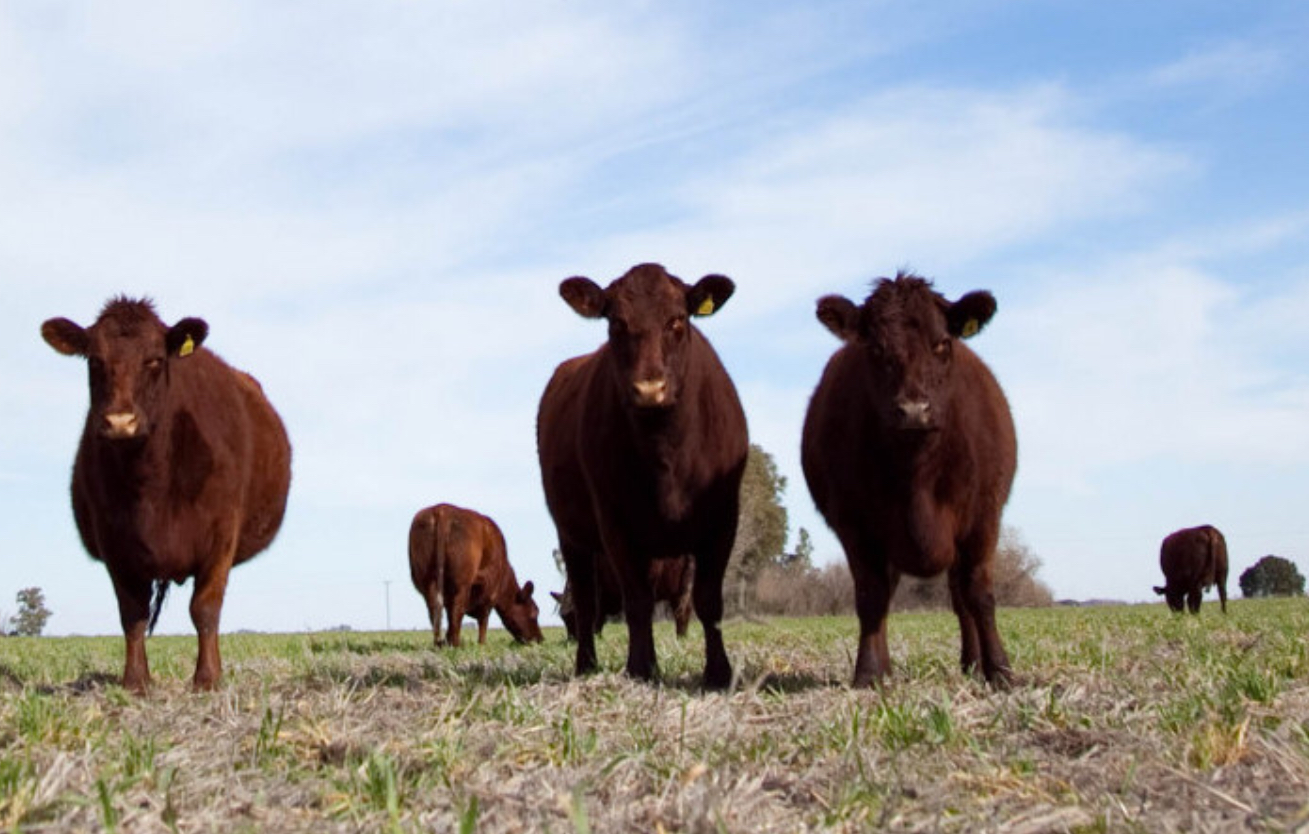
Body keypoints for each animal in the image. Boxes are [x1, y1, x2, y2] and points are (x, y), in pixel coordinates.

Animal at [41, 295, 291, 691]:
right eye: (94, 360)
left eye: (155, 359)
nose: (120, 422)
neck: (150, 486)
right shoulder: (114, 542)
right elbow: (132, 613)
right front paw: (135, 681)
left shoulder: (222, 534)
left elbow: (205, 609)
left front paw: (207, 679)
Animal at [413, 500, 547, 644]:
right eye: (534, 612)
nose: (540, 639)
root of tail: (443, 510)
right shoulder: (490, 592)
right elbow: (483, 619)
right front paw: (481, 644)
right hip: (462, 583)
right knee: (457, 611)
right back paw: (455, 644)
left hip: (426, 580)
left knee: (435, 610)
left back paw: (439, 643)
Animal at [795, 269, 1021, 686]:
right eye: (875, 348)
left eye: (942, 343)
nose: (914, 410)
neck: (917, 476)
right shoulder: (854, 525)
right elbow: (871, 597)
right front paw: (869, 673)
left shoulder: (984, 516)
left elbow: (980, 595)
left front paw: (1000, 671)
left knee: (960, 596)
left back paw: (972, 663)